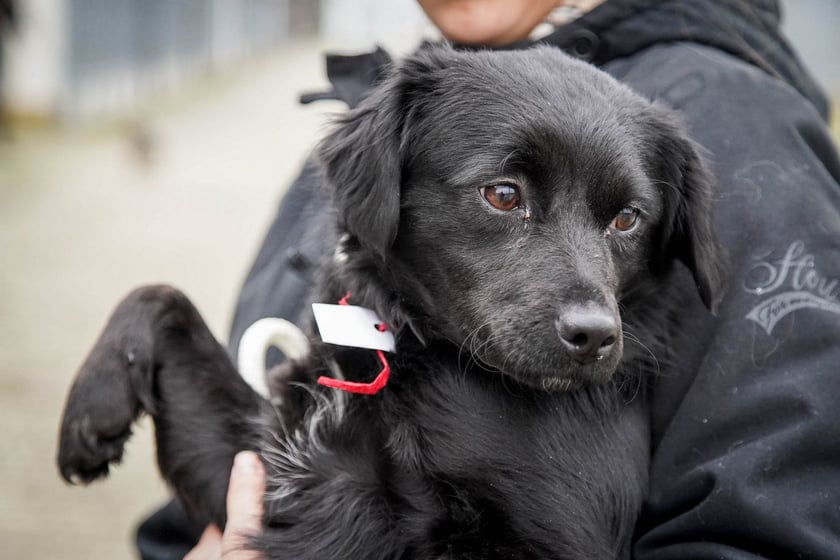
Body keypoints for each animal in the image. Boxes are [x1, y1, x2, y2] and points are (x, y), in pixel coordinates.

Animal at [59, 46, 724, 556]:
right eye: (503, 195)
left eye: (628, 218)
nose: (594, 337)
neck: (421, 360)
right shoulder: (256, 462)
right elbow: (160, 295)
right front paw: (91, 409)